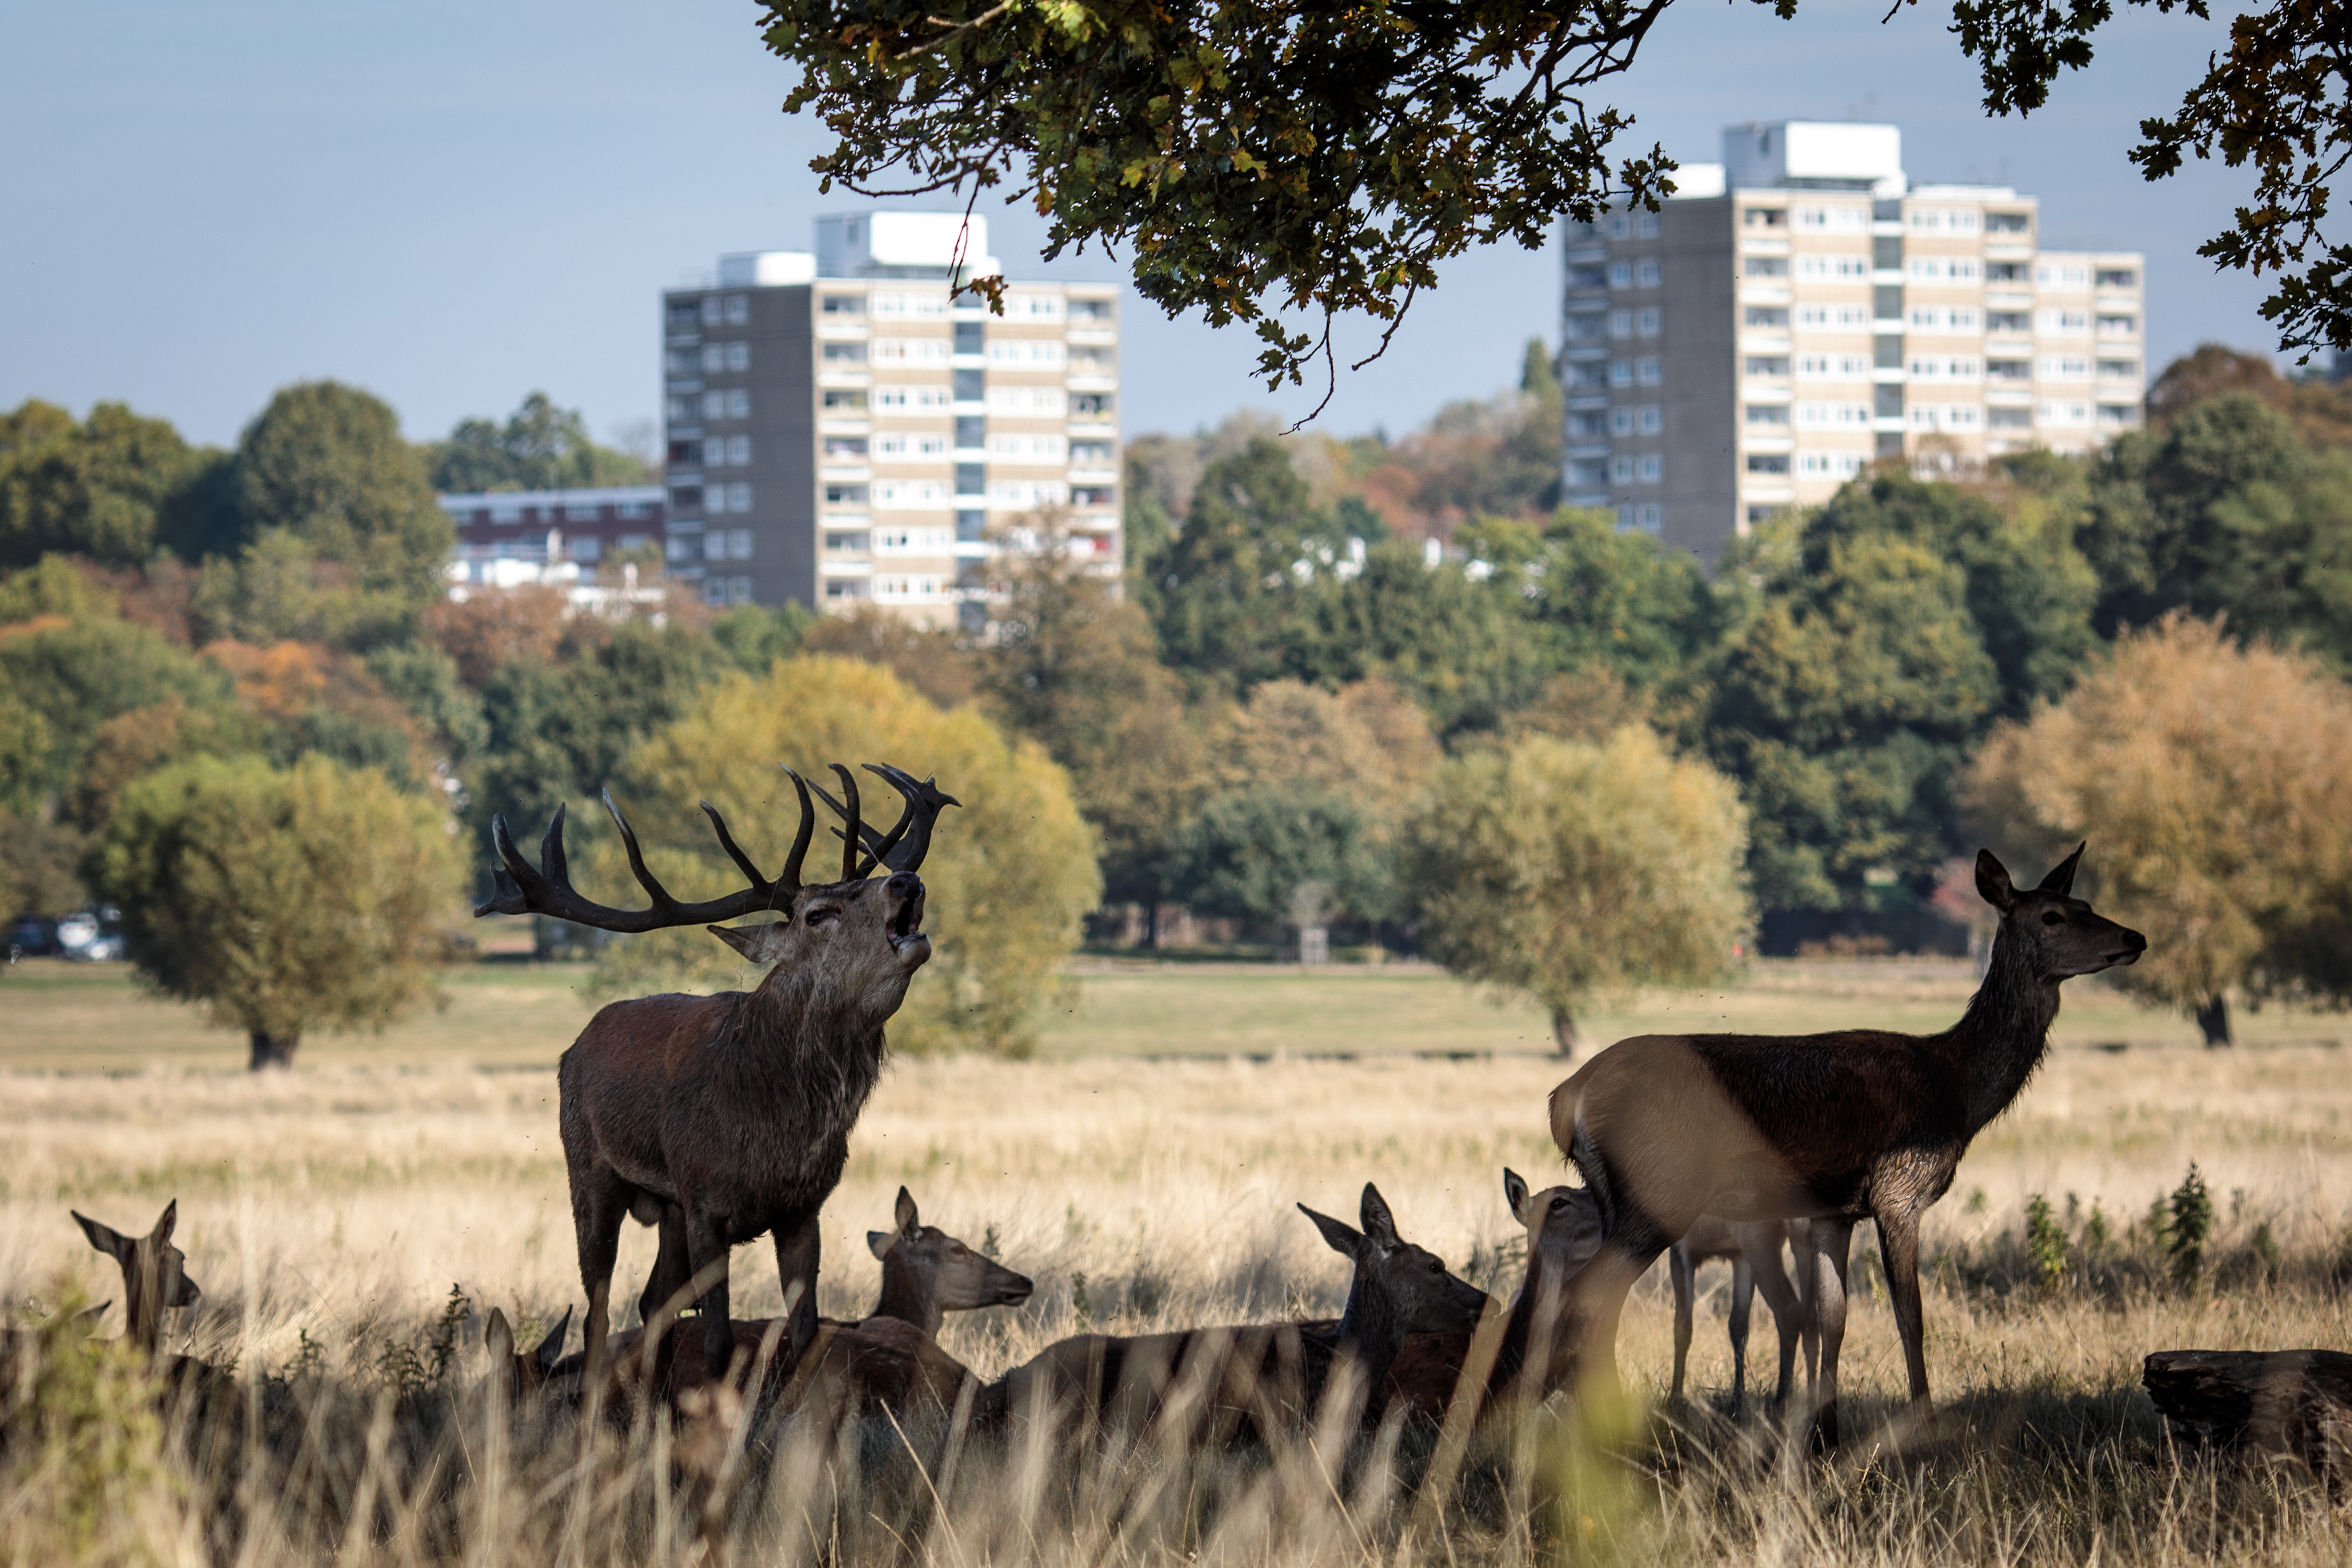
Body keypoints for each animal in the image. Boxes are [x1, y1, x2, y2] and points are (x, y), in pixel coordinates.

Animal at [477, 761, 955, 1401]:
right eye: (818, 914)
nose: (906, 880)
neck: (773, 1131)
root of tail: (577, 1042)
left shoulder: (803, 1209)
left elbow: (806, 1337)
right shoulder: (706, 1204)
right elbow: (718, 1344)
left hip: (668, 1206)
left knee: (651, 1300)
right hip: (589, 1170)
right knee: (598, 1308)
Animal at [1665, 1213, 1806, 1419]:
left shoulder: (1679, 1249)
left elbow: (1682, 1327)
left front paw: (1675, 1400)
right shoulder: (1739, 1255)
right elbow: (1738, 1327)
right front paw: (1736, 1401)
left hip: (1760, 1244)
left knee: (1789, 1310)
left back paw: (1780, 1403)